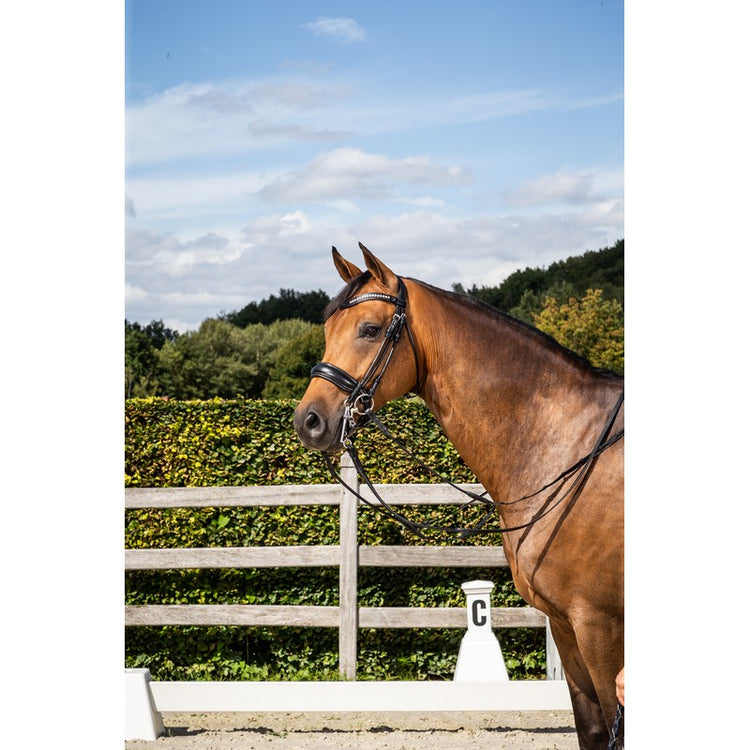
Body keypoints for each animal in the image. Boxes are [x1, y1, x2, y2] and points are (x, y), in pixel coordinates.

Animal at [296, 244, 624, 748]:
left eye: (370, 329)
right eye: (328, 330)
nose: (308, 421)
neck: (568, 444)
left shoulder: (599, 626)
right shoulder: (567, 627)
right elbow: (593, 731)